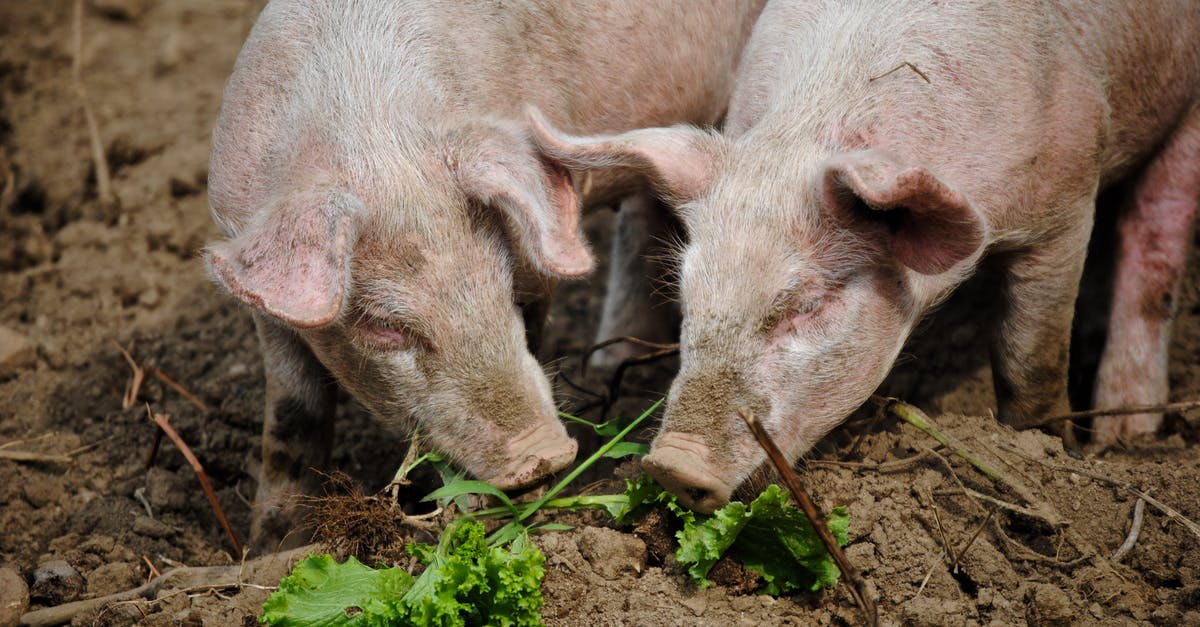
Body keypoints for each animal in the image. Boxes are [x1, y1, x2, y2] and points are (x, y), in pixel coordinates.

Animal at [207, 0, 763, 547]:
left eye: (506, 291)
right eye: (385, 327)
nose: (545, 452)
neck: (376, 138)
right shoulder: (264, 303)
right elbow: (292, 416)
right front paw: (273, 548)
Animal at [535, 0, 1200, 506]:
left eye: (808, 304)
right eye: (687, 296)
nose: (671, 465)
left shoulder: (1068, 198)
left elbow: (1028, 358)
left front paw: (1050, 447)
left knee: (1155, 238)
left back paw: (1128, 432)